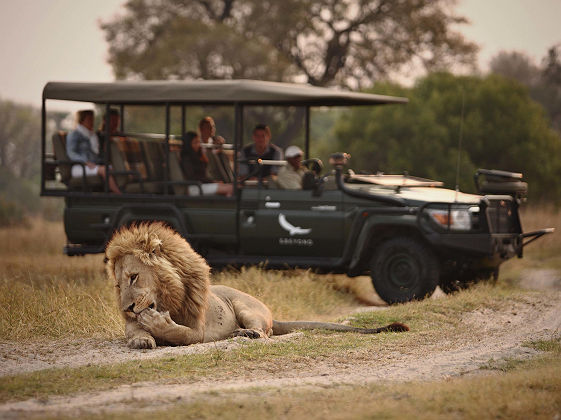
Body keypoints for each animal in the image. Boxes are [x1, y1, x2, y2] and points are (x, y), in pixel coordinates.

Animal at [105, 221, 410, 350]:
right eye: (118, 285)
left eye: (134, 277)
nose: (128, 307)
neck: (166, 297)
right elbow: (133, 331)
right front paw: (141, 336)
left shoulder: (198, 330)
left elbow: (181, 333)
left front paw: (157, 324)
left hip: (245, 307)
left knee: (266, 334)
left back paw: (246, 334)